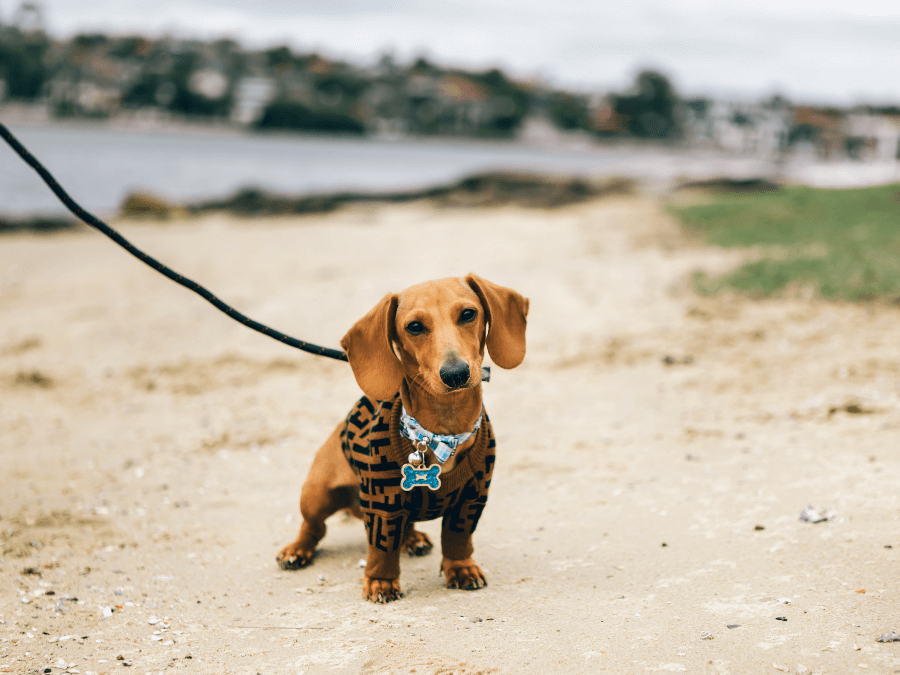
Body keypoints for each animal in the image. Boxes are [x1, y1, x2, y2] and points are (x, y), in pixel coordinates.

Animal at [274, 274, 528, 604]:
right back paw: (297, 550)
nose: (456, 374)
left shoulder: (473, 498)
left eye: (468, 314)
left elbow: (458, 537)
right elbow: (382, 547)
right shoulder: (382, 502)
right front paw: (381, 582)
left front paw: (461, 568)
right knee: (313, 528)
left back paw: (413, 538)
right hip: (318, 494)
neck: (441, 431)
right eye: (415, 326)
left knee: (405, 525)